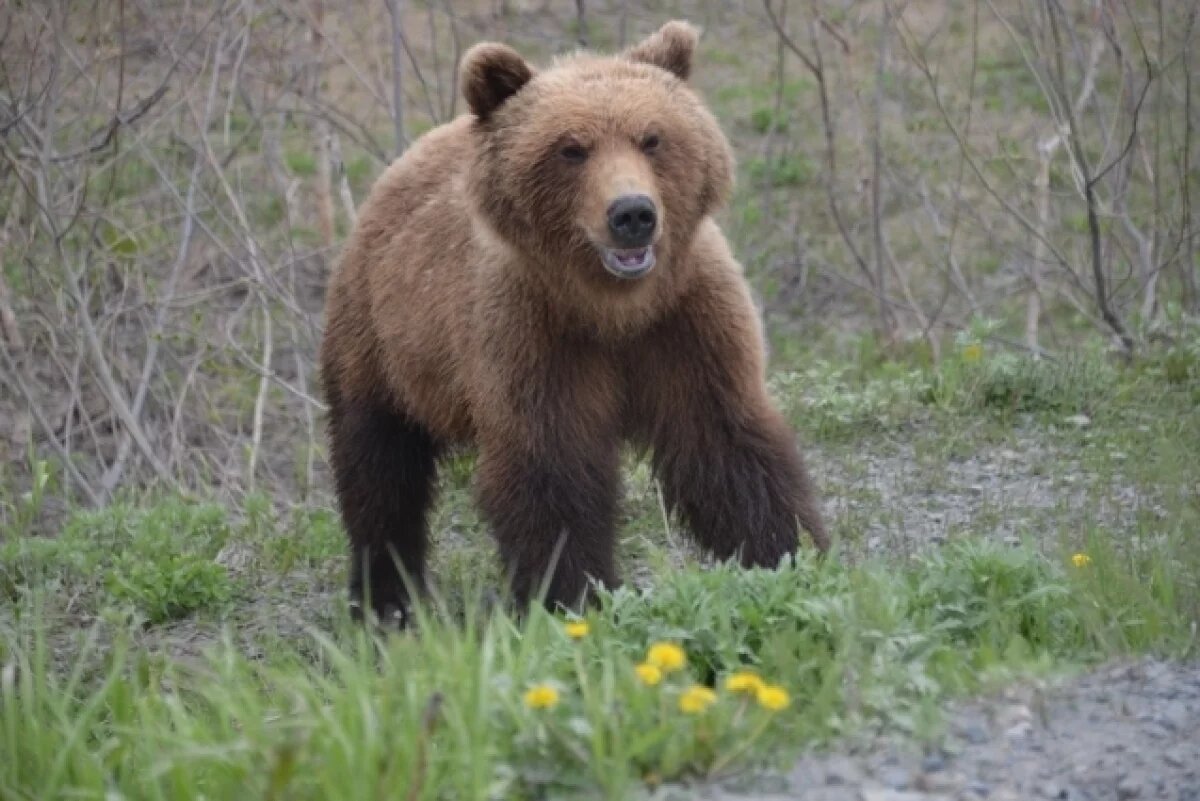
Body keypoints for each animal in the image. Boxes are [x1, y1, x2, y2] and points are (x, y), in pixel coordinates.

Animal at [314, 18, 830, 623]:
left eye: (652, 138)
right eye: (571, 149)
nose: (632, 213)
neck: (613, 309)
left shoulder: (685, 321)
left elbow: (726, 442)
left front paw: (789, 554)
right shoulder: (533, 334)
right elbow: (552, 472)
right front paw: (575, 598)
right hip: (382, 337)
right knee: (378, 464)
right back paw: (386, 598)